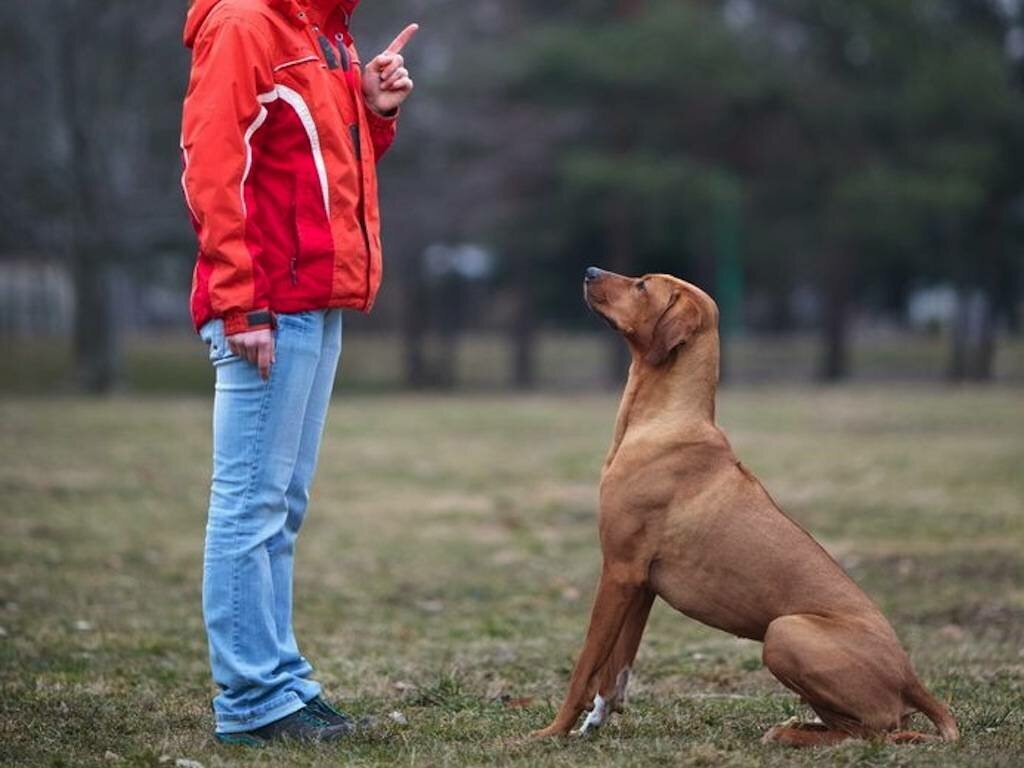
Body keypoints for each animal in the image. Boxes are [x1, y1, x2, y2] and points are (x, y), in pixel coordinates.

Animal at [532, 268, 954, 745]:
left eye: (642, 285)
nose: (589, 272)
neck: (665, 421)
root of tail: (912, 678)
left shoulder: (619, 571)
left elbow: (585, 665)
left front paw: (552, 731)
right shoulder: (640, 583)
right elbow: (616, 668)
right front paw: (595, 722)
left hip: (784, 632)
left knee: (872, 731)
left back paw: (790, 734)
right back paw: (797, 727)